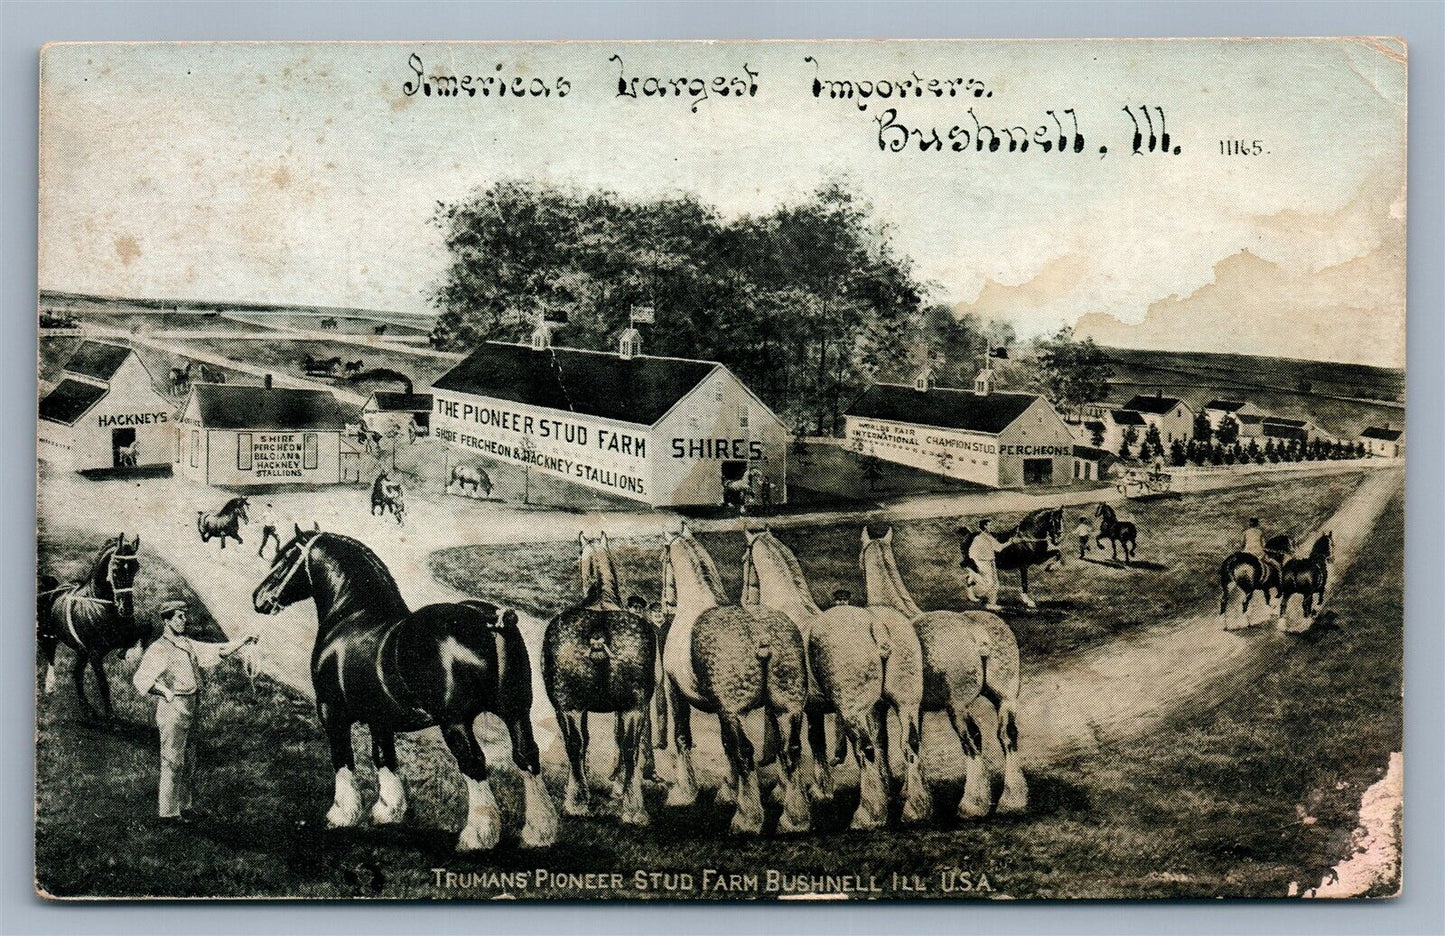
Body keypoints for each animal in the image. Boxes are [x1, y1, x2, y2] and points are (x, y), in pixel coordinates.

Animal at [37, 534, 145, 716]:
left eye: (135, 568)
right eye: (115, 569)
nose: (126, 609)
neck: (100, 605)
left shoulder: (117, 641)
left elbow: (135, 641)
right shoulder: (95, 654)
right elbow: (103, 684)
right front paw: (111, 716)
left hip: (81, 651)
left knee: (76, 673)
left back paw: (86, 708)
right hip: (49, 637)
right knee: (51, 658)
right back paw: (51, 688)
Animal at [251, 522, 554, 849]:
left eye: (286, 558)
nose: (259, 598)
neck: (352, 615)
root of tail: (487, 619)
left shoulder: (331, 711)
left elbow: (342, 757)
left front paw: (341, 814)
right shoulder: (380, 718)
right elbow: (384, 757)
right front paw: (388, 810)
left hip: (456, 722)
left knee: (473, 762)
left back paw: (476, 835)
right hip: (516, 712)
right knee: (527, 756)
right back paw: (539, 832)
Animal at [543, 534, 656, 826]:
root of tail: (598, 634)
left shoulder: (577, 707)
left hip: (570, 706)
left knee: (576, 744)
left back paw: (577, 802)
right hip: (632, 707)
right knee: (628, 747)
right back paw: (632, 809)